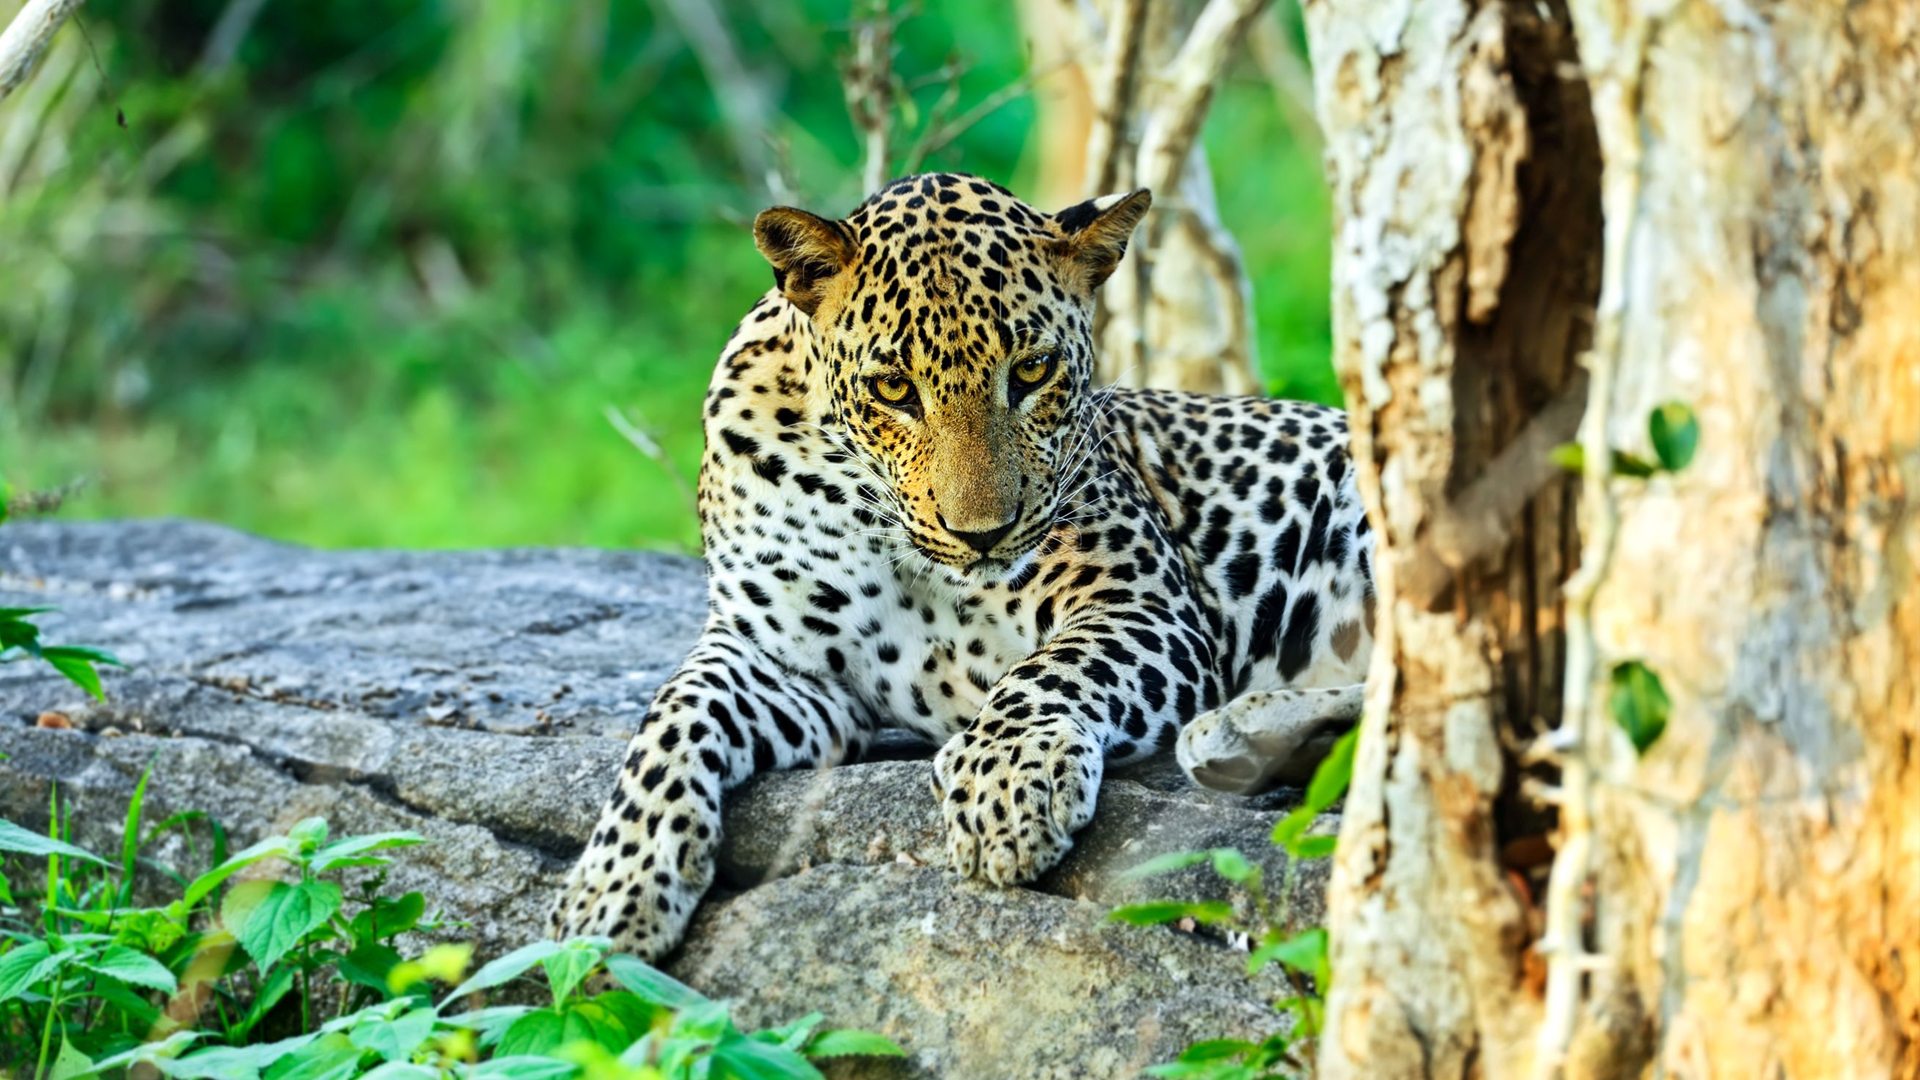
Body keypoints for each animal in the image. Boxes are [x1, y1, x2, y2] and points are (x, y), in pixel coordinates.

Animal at [549, 171, 1374, 953]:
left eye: (1033, 371)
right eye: (893, 388)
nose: (983, 533)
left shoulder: (1141, 600)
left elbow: (1051, 669)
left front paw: (1006, 783)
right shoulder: (781, 658)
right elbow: (672, 718)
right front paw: (612, 888)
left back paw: (1238, 735)